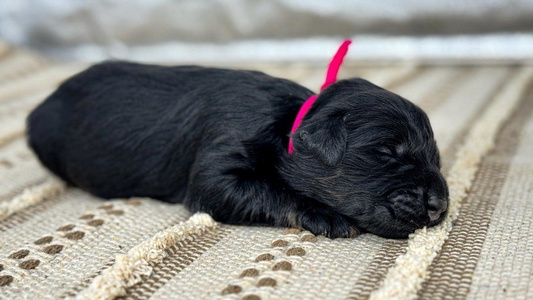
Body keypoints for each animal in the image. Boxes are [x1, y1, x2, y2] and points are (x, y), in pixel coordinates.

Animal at [27, 61, 446, 239]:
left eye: (437, 159)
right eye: (387, 152)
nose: (440, 206)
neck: (286, 122)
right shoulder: (222, 159)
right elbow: (270, 189)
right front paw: (325, 215)